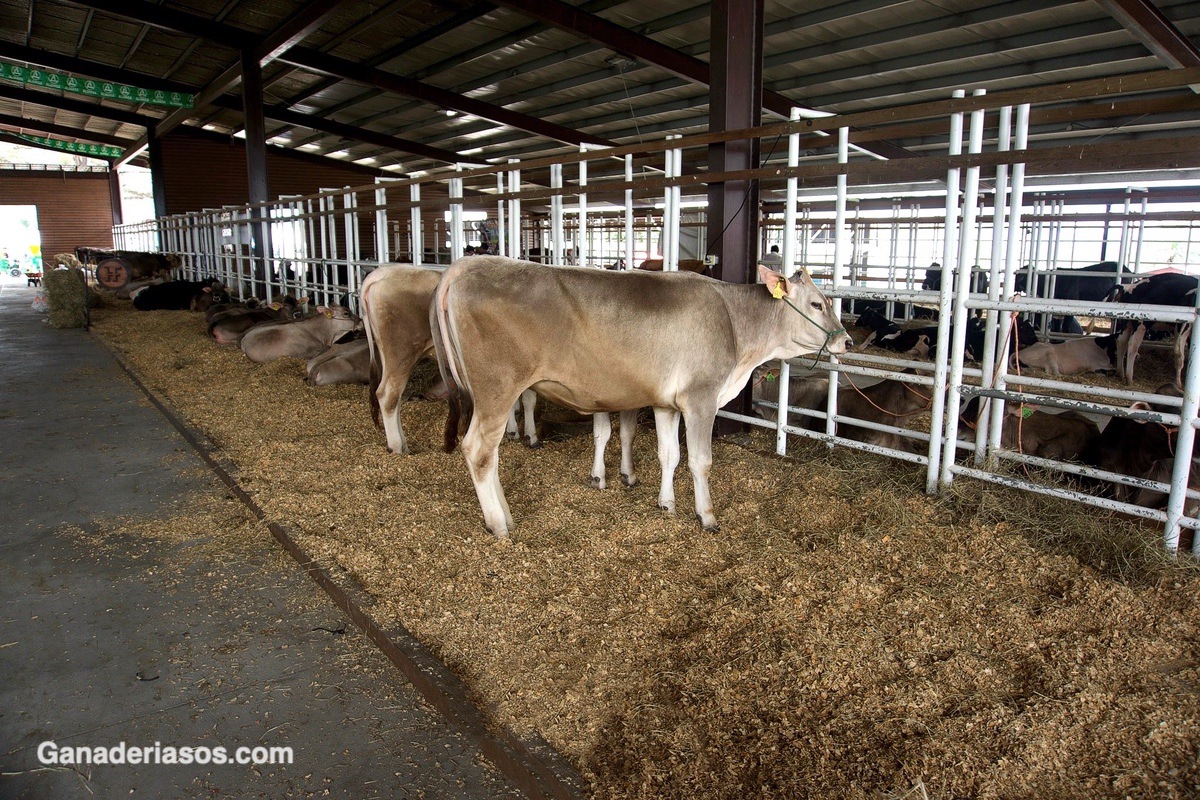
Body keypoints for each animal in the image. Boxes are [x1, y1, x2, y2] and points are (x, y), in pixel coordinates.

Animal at [436, 255, 849, 537]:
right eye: (817, 303)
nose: (846, 340)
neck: (734, 323)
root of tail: (469, 265)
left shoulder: (666, 402)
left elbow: (670, 455)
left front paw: (666, 503)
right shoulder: (701, 397)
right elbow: (700, 460)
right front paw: (707, 515)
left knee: (488, 454)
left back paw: (503, 514)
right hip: (496, 388)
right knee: (479, 450)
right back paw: (499, 524)